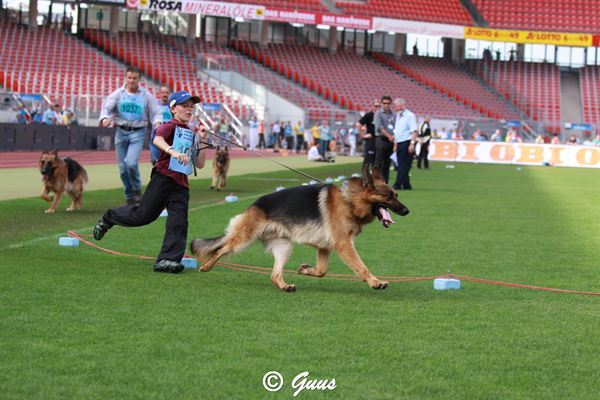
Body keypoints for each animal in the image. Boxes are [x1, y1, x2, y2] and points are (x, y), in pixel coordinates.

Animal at [190, 164, 410, 292]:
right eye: (388, 196)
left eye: (396, 194)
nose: (407, 211)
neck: (350, 201)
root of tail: (253, 205)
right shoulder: (343, 244)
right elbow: (361, 266)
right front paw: (375, 282)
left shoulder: (326, 247)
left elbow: (321, 271)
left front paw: (305, 270)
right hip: (244, 239)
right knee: (221, 249)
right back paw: (206, 266)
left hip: (284, 248)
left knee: (274, 275)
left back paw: (284, 286)